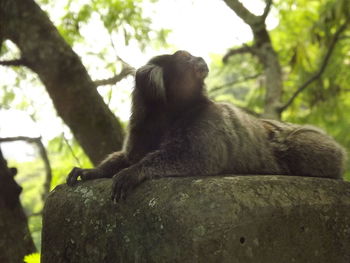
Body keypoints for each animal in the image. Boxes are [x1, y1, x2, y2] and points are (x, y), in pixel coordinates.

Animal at [66, 50, 348, 202]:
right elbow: (127, 156)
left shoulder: (207, 120)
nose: (199, 58)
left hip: (314, 142)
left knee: (299, 149)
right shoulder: (141, 124)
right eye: (186, 58)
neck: (168, 113)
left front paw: (134, 172)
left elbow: (194, 157)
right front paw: (93, 172)